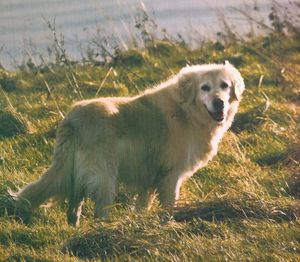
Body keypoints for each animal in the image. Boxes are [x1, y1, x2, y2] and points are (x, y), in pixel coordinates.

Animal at [14, 62, 244, 225]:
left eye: (224, 86)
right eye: (205, 88)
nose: (219, 103)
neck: (187, 111)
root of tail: (72, 118)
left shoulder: (149, 178)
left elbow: (142, 205)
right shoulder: (170, 176)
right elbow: (168, 206)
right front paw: (168, 225)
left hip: (76, 172)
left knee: (74, 204)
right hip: (104, 177)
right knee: (99, 210)